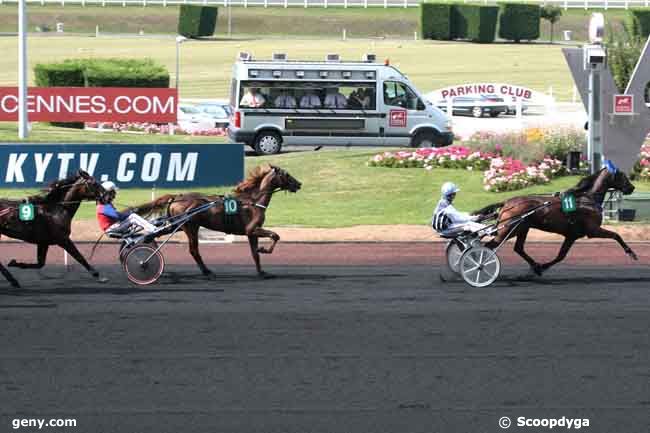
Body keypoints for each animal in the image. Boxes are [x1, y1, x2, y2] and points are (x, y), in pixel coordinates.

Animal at [132, 164, 304, 278]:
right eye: (287, 174)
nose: (299, 184)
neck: (253, 201)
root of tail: (177, 197)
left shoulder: (251, 233)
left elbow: (255, 254)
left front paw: (262, 271)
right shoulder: (253, 229)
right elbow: (275, 236)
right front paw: (264, 250)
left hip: (179, 225)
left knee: (154, 235)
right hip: (190, 226)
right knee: (194, 250)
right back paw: (206, 271)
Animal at [474, 162, 636, 276]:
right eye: (622, 175)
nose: (632, 188)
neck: (587, 199)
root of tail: (507, 202)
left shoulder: (572, 236)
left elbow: (561, 256)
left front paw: (540, 268)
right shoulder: (593, 230)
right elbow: (616, 235)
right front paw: (631, 253)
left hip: (522, 228)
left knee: (518, 248)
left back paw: (534, 266)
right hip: (509, 229)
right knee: (489, 246)